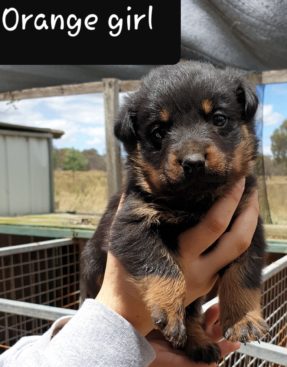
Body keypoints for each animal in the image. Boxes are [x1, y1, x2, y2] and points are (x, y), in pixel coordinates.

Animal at [81, 61, 270, 364]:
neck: (194, 203)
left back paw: (199, 343)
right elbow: (162, 264)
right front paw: (169, 308)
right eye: (158, 132)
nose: (193, 162)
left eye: (219, 119)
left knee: (192, 314)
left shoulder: (249, 229)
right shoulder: (131, 224)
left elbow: (243, 276)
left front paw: (244, 319)